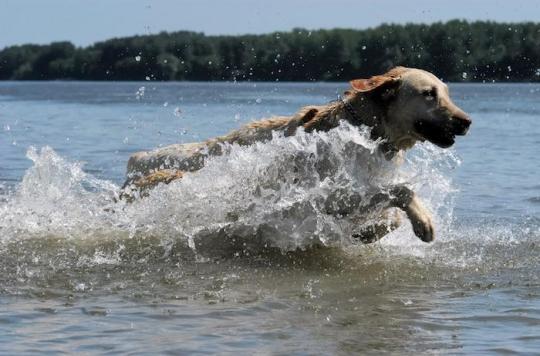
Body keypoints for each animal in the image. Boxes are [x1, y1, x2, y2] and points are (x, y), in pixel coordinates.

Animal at [120, 66, 470, 245]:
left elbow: (391, 214)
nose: (467, 122)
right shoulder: (328, 193)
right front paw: (424, 222)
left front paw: (368, 231)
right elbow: (402, 190)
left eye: (447, 93)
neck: (365, 131)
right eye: (428, 93)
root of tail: (135, 161)